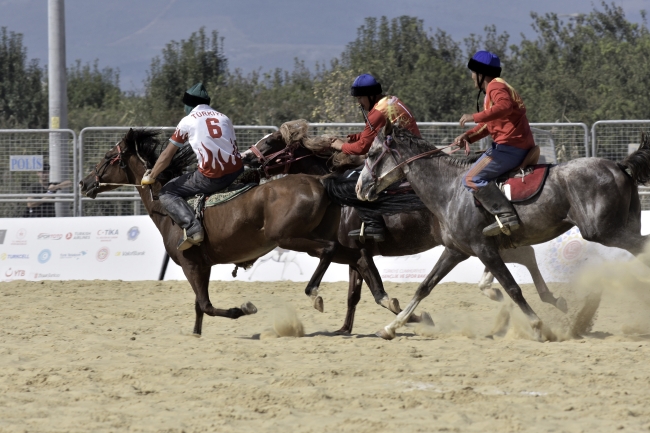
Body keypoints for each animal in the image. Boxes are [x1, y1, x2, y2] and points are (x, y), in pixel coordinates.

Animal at [78, 130, 388, 336]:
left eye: (108, 156)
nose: (84, 182)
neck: (166, 210)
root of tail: (320, 181)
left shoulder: (191, 265)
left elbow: (206, 305)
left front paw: (243, 309)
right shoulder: (201, 266)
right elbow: (199, 306)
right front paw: (196, 334)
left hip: (291, 238)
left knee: (329, 251)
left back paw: (315, 294)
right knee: (356, 256)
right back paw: (389, 303)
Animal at [240, 128, 564, 330]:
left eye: (271, 142)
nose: (244, 160)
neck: (339, 200)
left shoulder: (359, 254)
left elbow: (380, 295)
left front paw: (415, 318)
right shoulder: (352, 256)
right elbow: (354, 295)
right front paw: (344, 328)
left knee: (523, 255)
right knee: (523, 253)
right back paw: (541, 297)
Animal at [354, 123, 648, 340]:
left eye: (371, 154)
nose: (359, 188)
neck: (450, 190)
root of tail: (618, 166)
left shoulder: (484, 249)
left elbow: (512, 288)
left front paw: (538, 326)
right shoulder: (455, 251)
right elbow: (424, 286)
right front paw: (391, 327)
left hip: (603, 231)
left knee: (642, 246)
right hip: (621, 226)